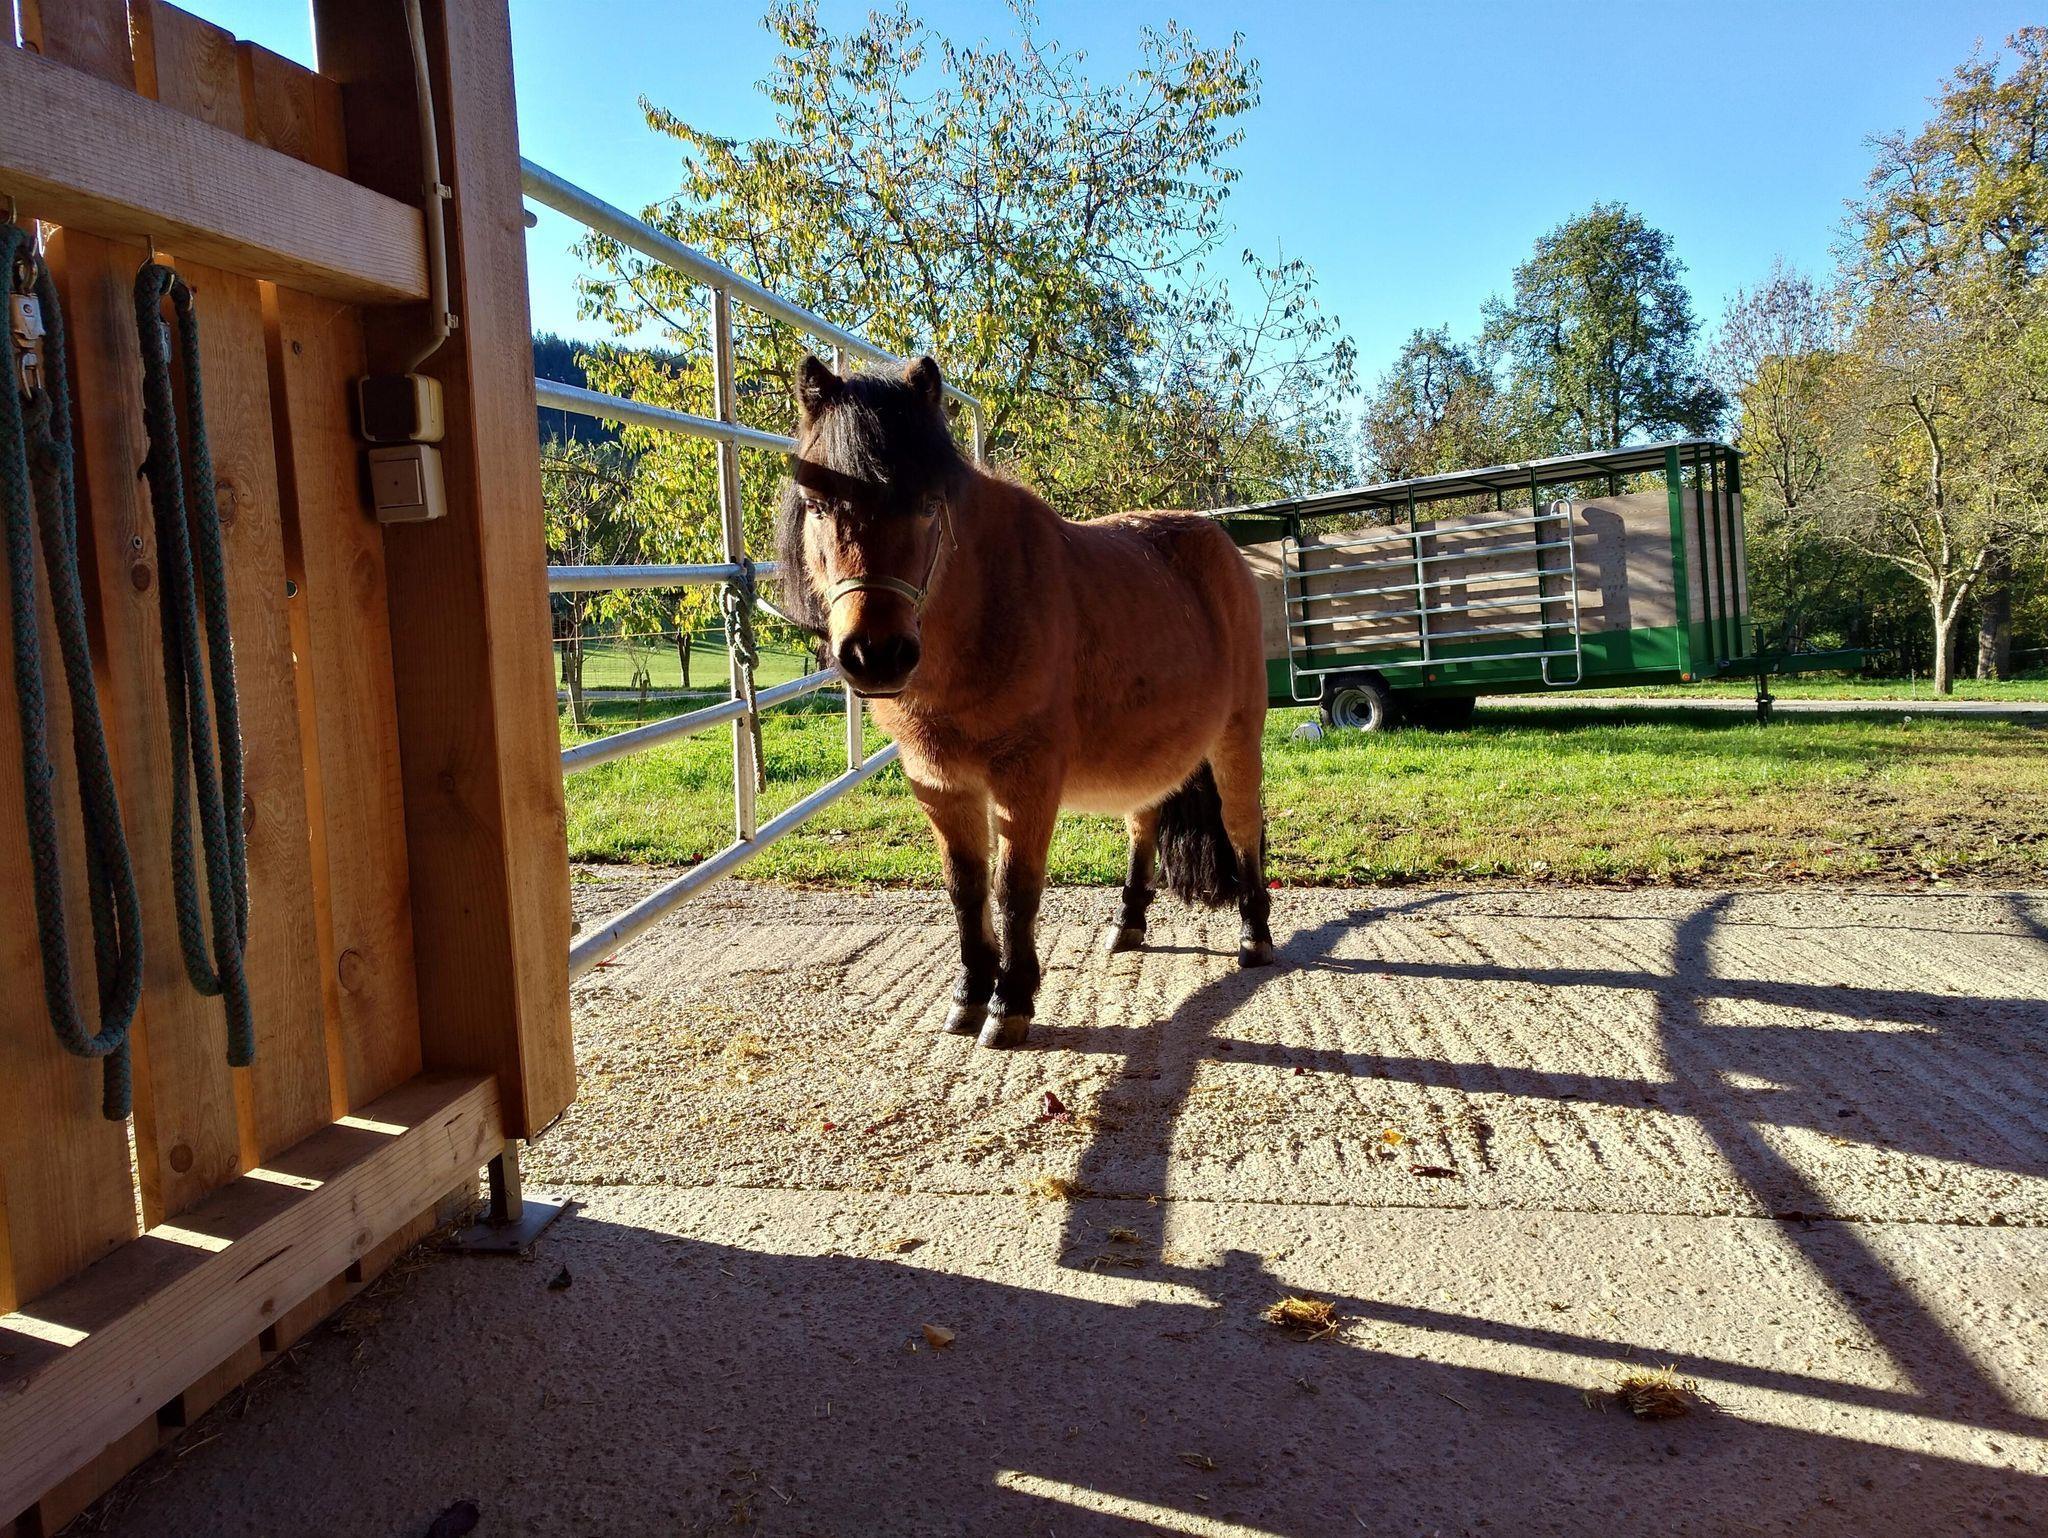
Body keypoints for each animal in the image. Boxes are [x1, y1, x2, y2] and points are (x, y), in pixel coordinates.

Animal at [776, 354, 1274, 1049]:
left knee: (1243, 823)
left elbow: (1015, 890)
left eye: (928, 503)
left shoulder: (1027, 777)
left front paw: (1009, 1001)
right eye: (819, 504)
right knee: (1143, 820)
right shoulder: (940, 783)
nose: (877, 655)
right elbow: (966, 888)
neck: (983, 614)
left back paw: (1255, 936)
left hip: (1237, 734)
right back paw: (1128, 924)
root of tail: (1221, 544)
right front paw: (969, 995)